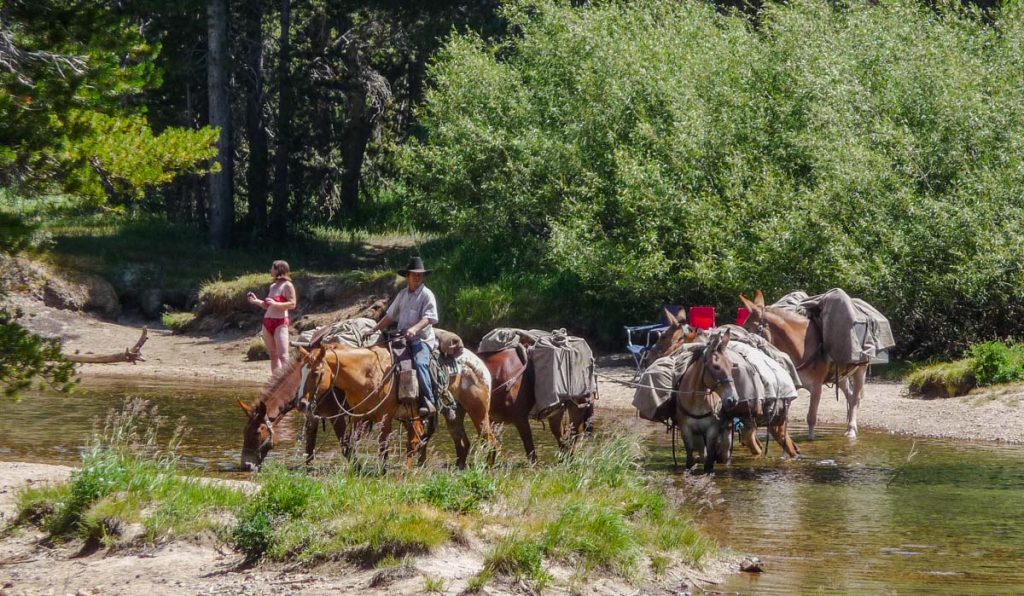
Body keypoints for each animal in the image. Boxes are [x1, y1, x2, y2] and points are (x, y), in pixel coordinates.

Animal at [741, 292, 868, 442]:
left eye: (747, 328)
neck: (801, 347)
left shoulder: (816, 387)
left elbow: (811, 417)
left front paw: (810, 439)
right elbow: (784, 417)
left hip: (861, 370)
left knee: (855, 399)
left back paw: (852, 430)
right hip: (840, 375)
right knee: (850, 395)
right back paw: (848, 427)